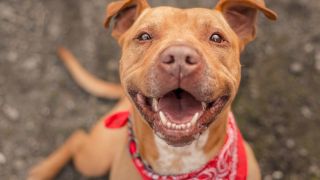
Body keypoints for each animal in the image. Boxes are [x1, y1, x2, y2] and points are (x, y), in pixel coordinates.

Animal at [28, 0, 276, 179]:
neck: (178, 160)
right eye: (144, 36)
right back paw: (41, 171)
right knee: (77, 138)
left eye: (216, 37)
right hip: (94, 159)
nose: (179, 58)